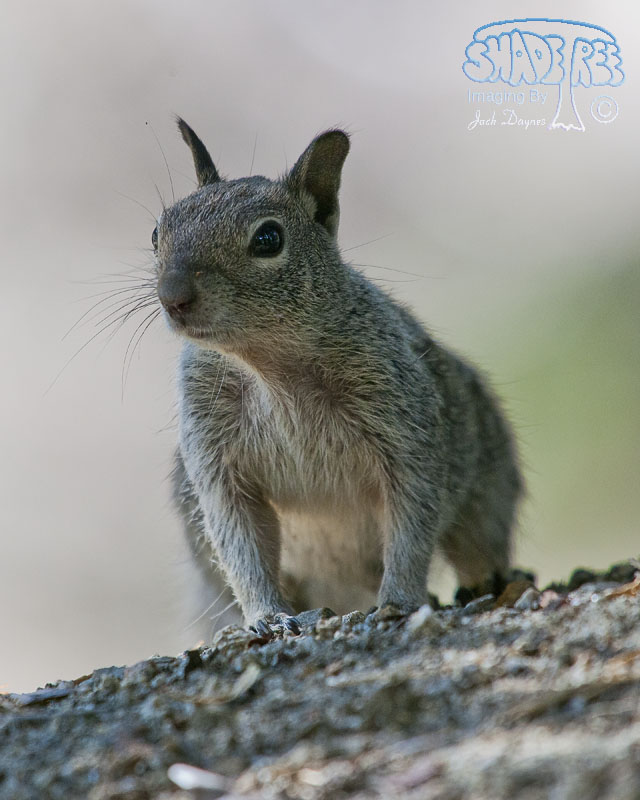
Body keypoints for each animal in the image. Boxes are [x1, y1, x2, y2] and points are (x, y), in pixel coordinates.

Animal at [154, 118, 523, 635]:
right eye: (157, 231)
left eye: (268, 239)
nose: (173, 297)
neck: (271, 367)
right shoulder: (215, 458)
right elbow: (241, 544)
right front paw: (265, 616)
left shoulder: (405, 430)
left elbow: (411, 522)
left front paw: (400, 599)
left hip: (487, 488)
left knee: (477, 544)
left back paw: (487, 582)